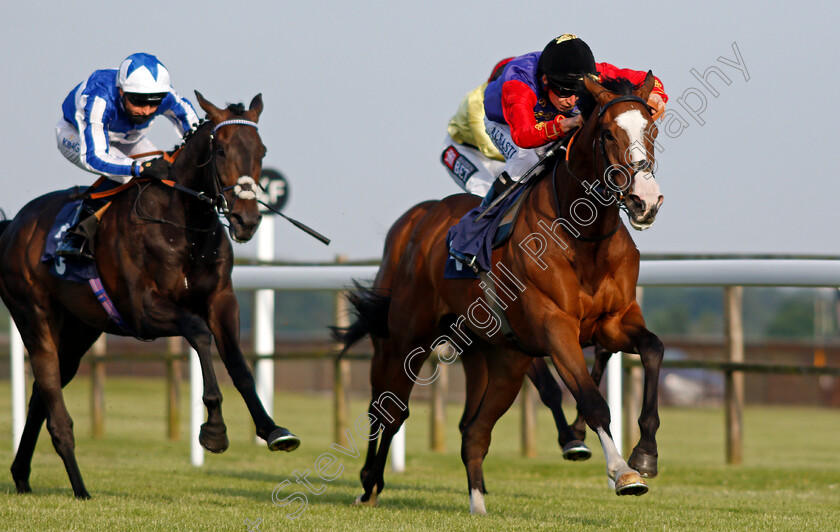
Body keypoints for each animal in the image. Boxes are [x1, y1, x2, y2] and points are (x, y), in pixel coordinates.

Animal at [0, 90, 300, 498]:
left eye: (262, 150)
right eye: (221, 151)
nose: (247, 220)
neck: (184, 226)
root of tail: (13, 226)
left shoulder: (222, 300)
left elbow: (239, 364)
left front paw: (272, 430)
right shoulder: (143, 311)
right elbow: (199, 334)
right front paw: (214, 430)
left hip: (80, 329)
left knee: (41, 395)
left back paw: (21, 475)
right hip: (33, 315)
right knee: (51, 395)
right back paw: (80, 487)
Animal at [338, 72, 668, 512]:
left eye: (651, 129)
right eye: (608, 133)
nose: (645, 200)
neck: (584, 236)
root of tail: (419, 221)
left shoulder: (613, 322)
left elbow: (652, 349)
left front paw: (645, 454)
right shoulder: (555, 327)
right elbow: (591, 399)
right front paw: (622, 472)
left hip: (500, 360)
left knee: (474, 431)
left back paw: (477, 504)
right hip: (407, 336)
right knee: (389, 409)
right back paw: (369, 484)